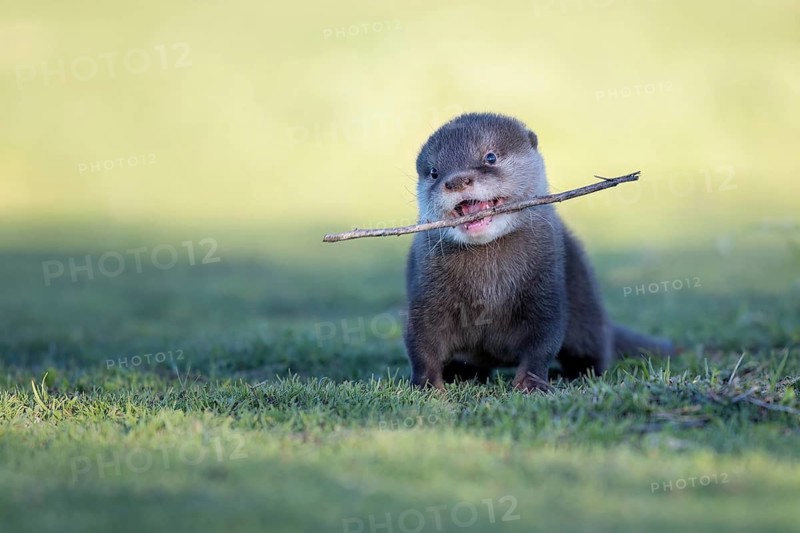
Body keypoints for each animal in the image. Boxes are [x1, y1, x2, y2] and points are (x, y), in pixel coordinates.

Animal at [404, 112, 674, 392]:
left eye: (490, 157)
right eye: (434, 172)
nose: (457, 181)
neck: (489, 290)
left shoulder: (545, 289)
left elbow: (543, 343)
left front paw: (530, 384)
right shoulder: (425, 296)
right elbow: (421, 345)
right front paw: (427, 385)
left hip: (588, 314)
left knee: (594, 351)